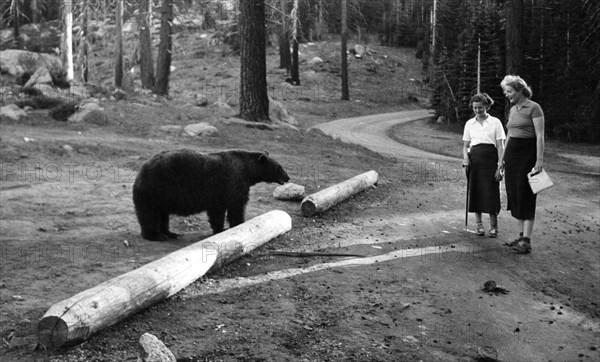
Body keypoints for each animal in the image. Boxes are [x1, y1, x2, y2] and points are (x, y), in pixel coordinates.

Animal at [132, 148, 290, 242]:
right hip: (155, 190)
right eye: (279, 167)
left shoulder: (219, 194)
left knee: (162, 215)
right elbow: (236, 206)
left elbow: (218, 211)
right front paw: (236, 225)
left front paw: (220, 228)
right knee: (150, 214)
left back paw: (170, 233)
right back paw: (155, 235)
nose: (288, 177)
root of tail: (141, 170)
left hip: (162, 196)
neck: (247, 170)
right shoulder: (232, 182)